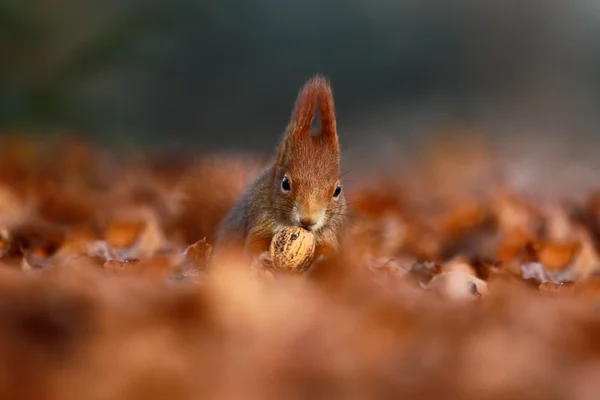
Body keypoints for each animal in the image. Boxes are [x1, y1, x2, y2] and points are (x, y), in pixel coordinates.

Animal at [214, 74, 346, 266]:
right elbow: (254, 242)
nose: (308, 220)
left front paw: (321, 259)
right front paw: (263, 256)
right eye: (285, 183)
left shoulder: (330, 232)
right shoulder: (259, 217)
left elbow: (330, 250)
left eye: (337, 190)